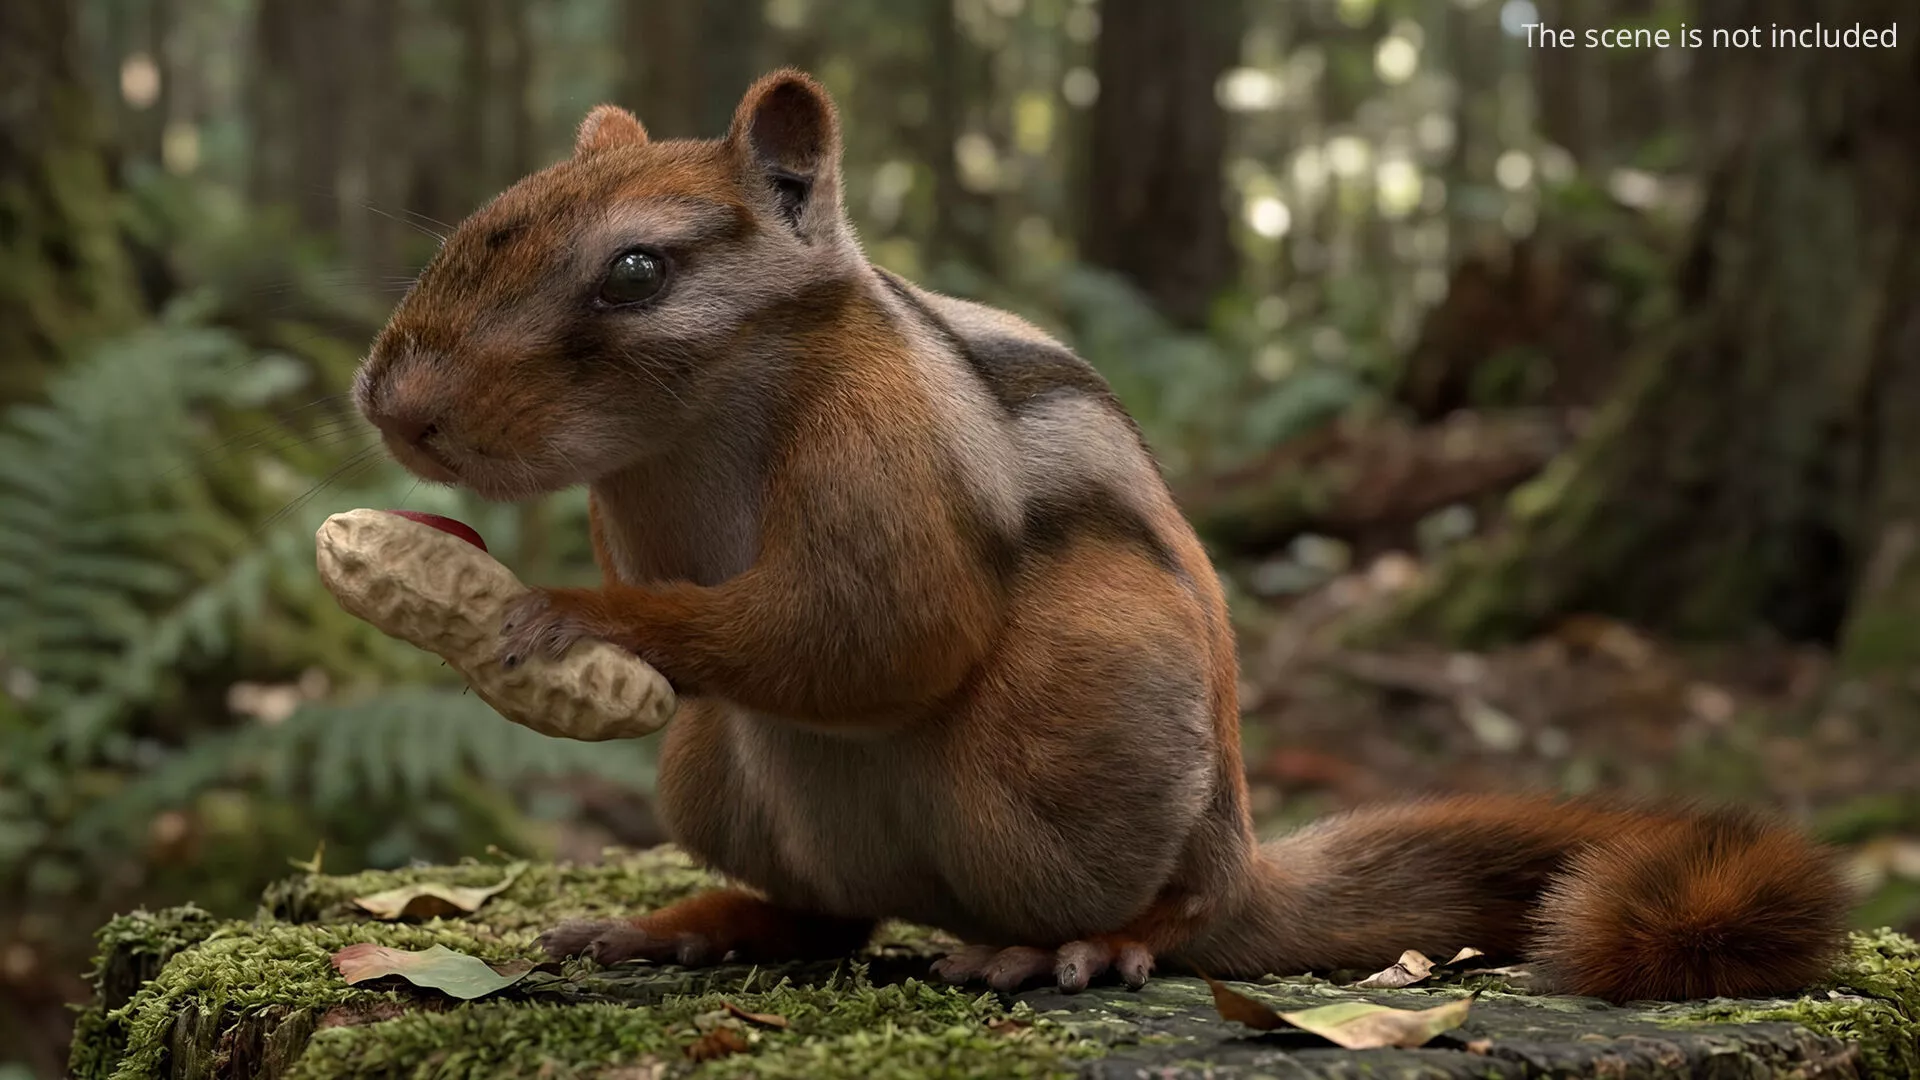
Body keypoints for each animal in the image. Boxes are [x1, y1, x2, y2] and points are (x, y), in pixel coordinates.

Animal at [353, 68, 1852, 1003]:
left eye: (636, 273)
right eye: (480, 223)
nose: (393, 407)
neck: (688, 435)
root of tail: (1248, 863)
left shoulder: (884, 446)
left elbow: (879, 632)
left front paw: (565, 616)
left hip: (1074, 719)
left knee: (1159, 918)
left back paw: (1083, 946)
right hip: (712, 768)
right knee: (825, 917)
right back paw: (681, 929)